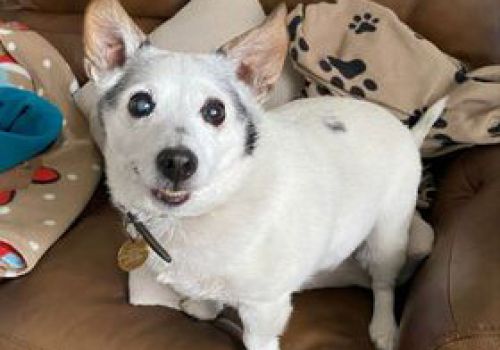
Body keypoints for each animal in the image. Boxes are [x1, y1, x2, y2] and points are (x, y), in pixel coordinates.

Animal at [85, 1, 446, 348]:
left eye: (215, 111)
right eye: (140, 104)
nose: (177, 161)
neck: (196, 214)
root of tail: (407, 133)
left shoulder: (264, 310)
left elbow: (258, 338)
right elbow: (209, 294)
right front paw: (204, 307)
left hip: (387, 237)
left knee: (383, 285)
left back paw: (384, 328)